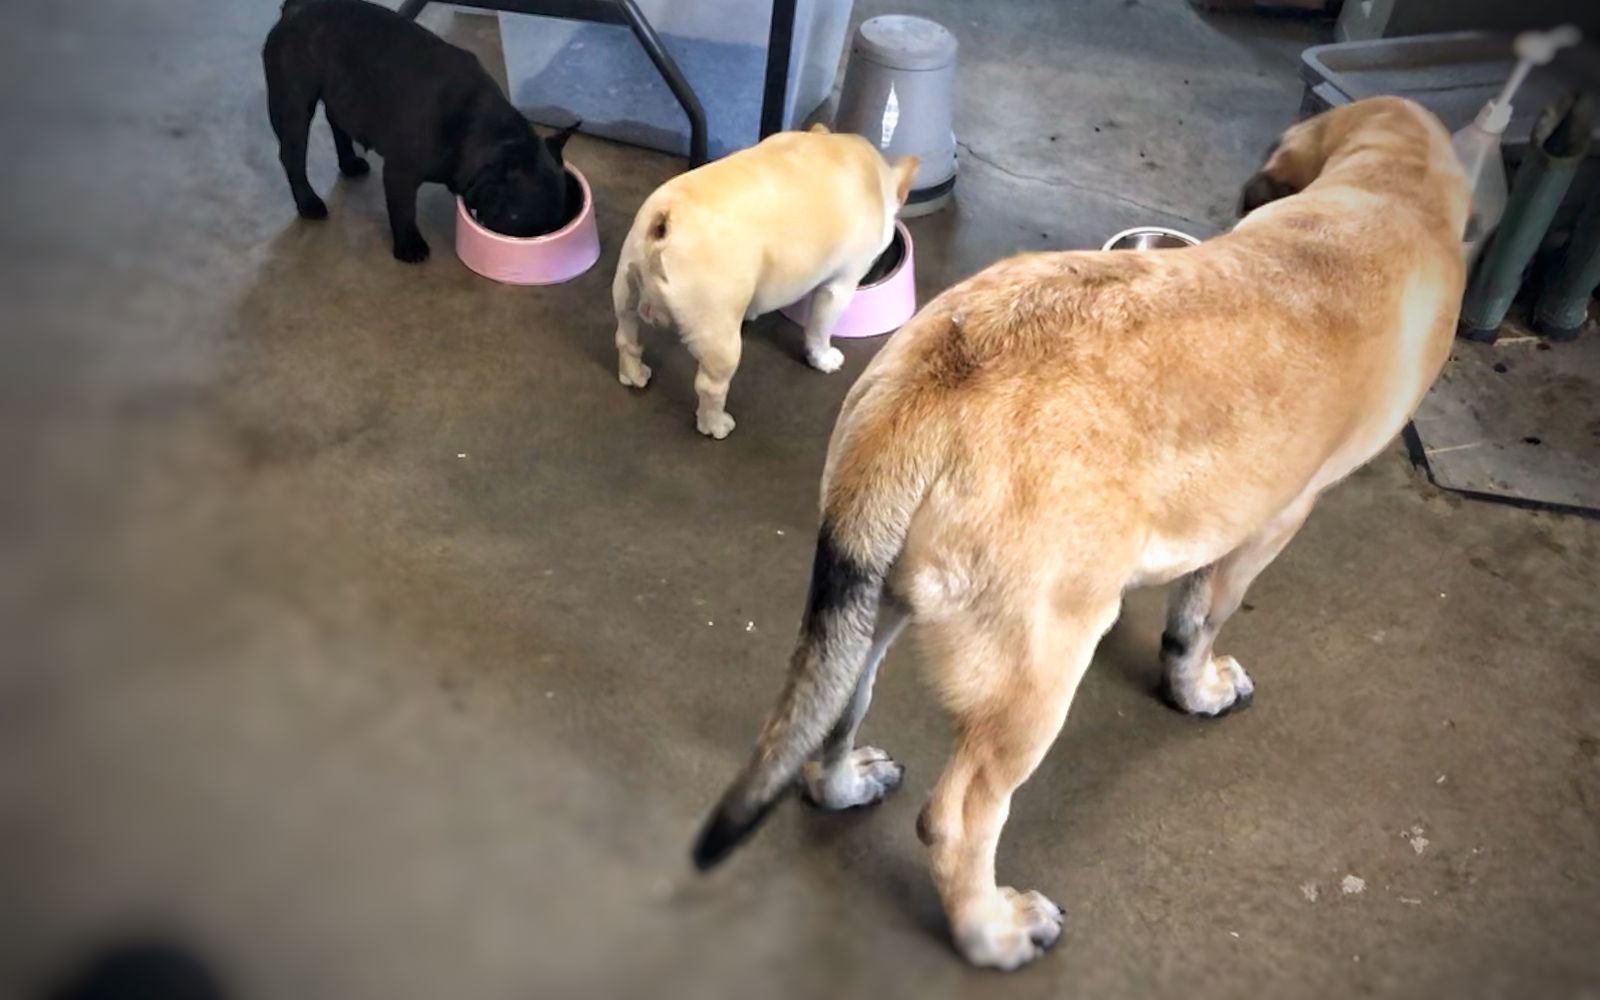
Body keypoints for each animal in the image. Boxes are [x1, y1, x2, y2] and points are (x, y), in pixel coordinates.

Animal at [263, 0, 577, 262]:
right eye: (516, 219)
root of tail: (296, 7)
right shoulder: (400, 173)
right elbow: (404, 210)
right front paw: (409, 247)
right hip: (294, 104)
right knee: (292, 155)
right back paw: (308, 203)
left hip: (341, 95)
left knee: (337, 123)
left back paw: (349, 164)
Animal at [610, 126, 918, 438]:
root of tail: (665, 221)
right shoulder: (839, 288)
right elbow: (819, 330)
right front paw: (823, 358)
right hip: (720, 339)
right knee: (710, 386)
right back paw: (715, 425)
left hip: (625, 290)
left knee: (626, 336)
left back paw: (633, 374)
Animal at [691, 97, 1469, 969]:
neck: (1389, 188)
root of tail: (932, 385)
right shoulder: (1270, 523)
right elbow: (1199, 622)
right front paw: (1198, 689)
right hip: (1039, 671)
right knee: (957, 820)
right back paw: (993, 931)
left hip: (868, 607)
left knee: (835, 716)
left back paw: (845, 786)